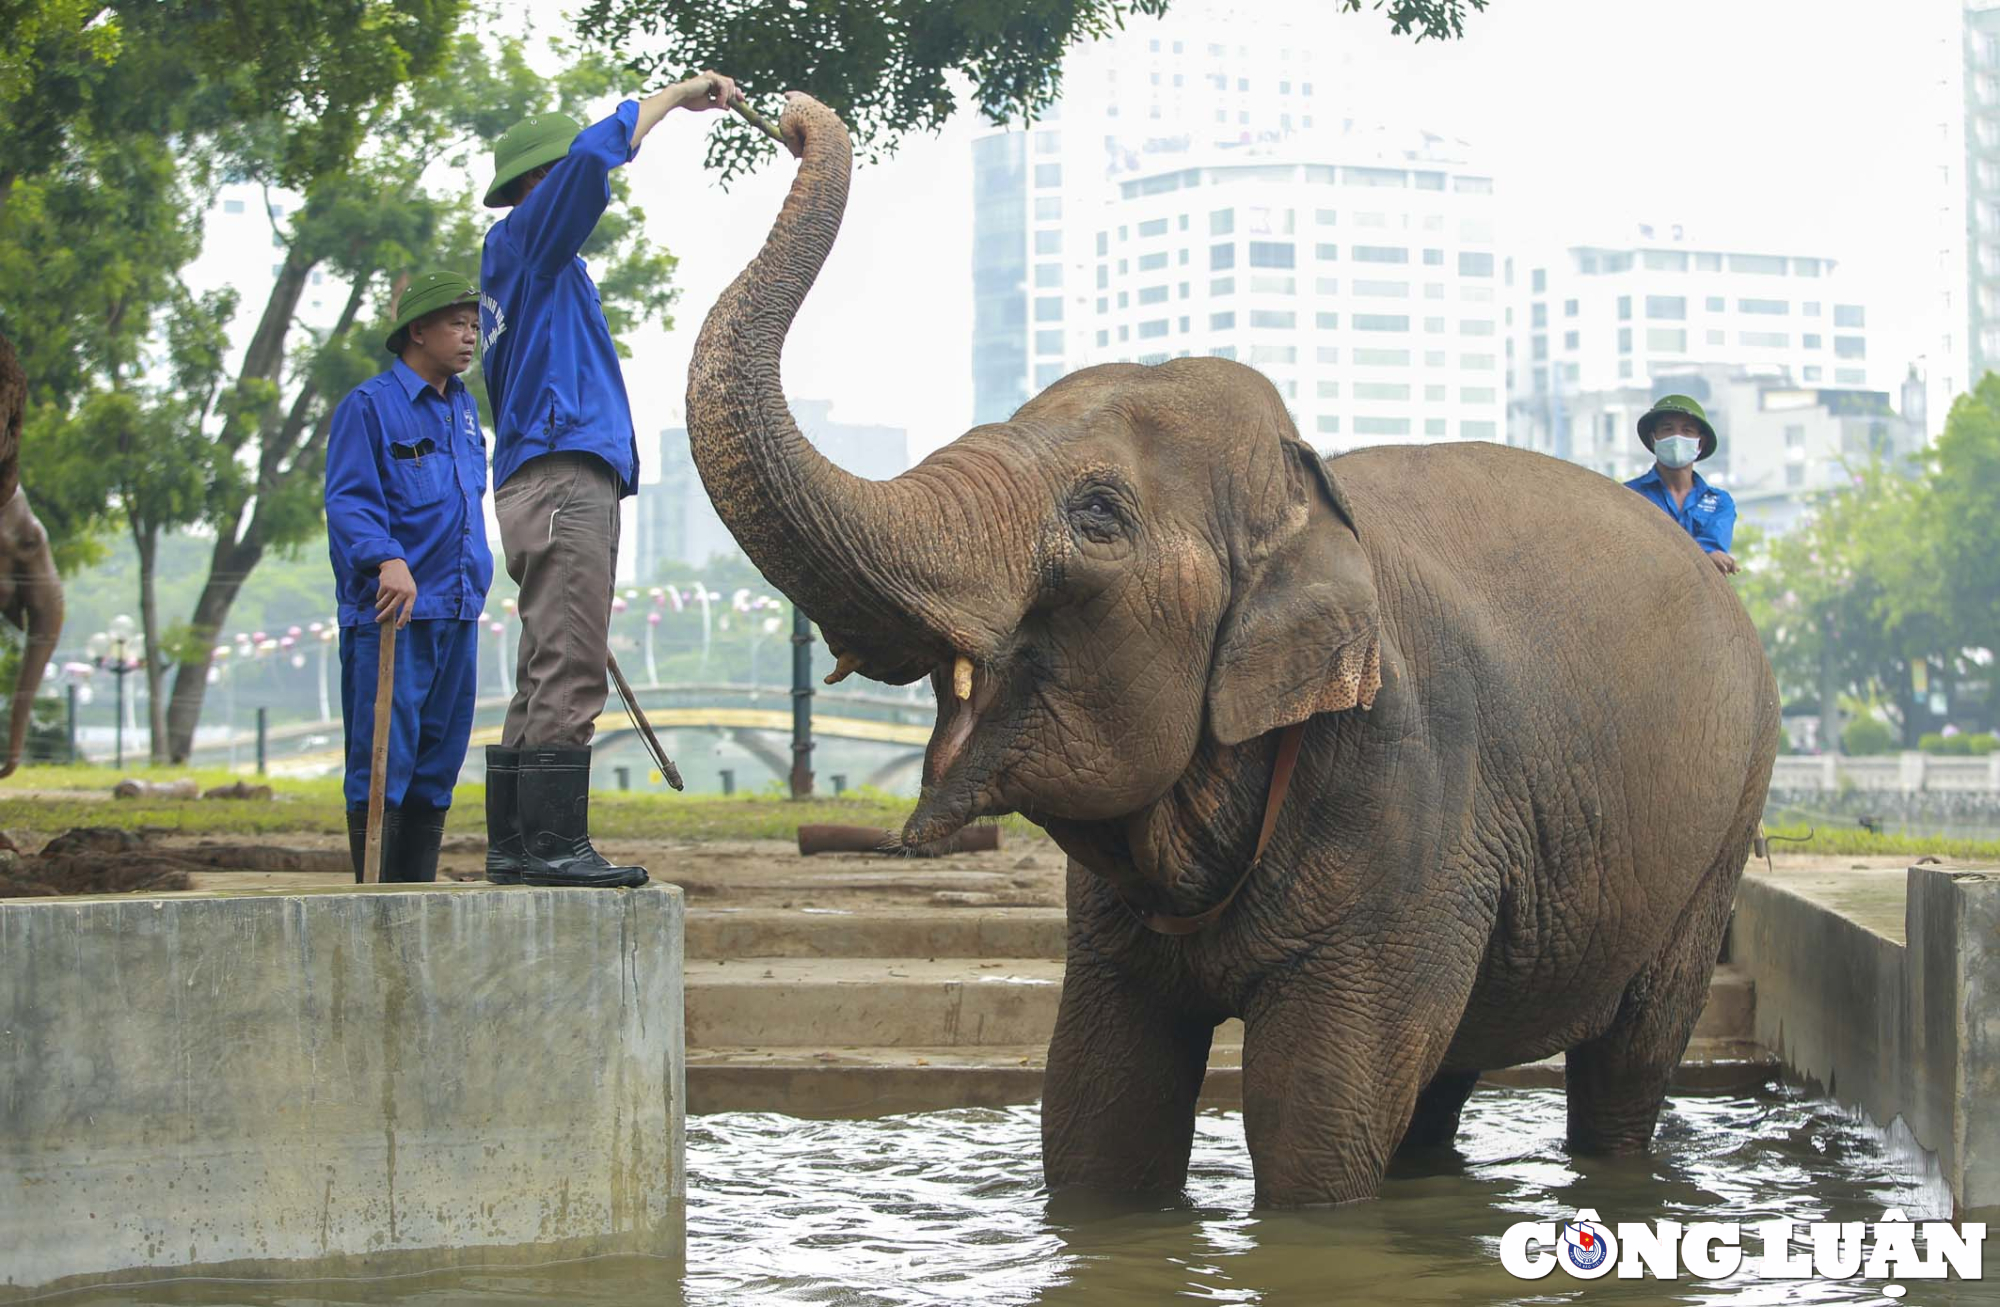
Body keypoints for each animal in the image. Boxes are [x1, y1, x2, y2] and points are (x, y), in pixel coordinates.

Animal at [680, 97, 1776, 1215]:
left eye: (1098, 515)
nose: (786, 115)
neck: (1310, 491)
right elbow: (1098, 1114)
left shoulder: (1408, 801)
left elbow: (1315, 1130)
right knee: (1442, 1076)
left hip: (1724, 823)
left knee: (1626, 1059)